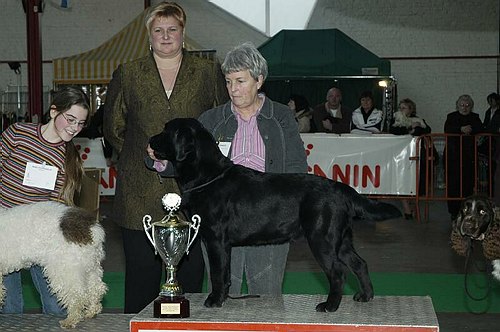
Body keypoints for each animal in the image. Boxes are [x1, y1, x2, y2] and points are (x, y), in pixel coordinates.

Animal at [149, 118, 402, 312]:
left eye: (167, 130)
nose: (150, 140)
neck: (208, 175)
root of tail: (341, 188)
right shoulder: (224, 244)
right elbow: (227, 272)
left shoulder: (215, 239)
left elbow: (218, 273)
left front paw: (214, 300)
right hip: (341, 239)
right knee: (360, 263)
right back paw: (365, 295)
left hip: (321, 238)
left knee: (338, 272)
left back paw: (330, 305)